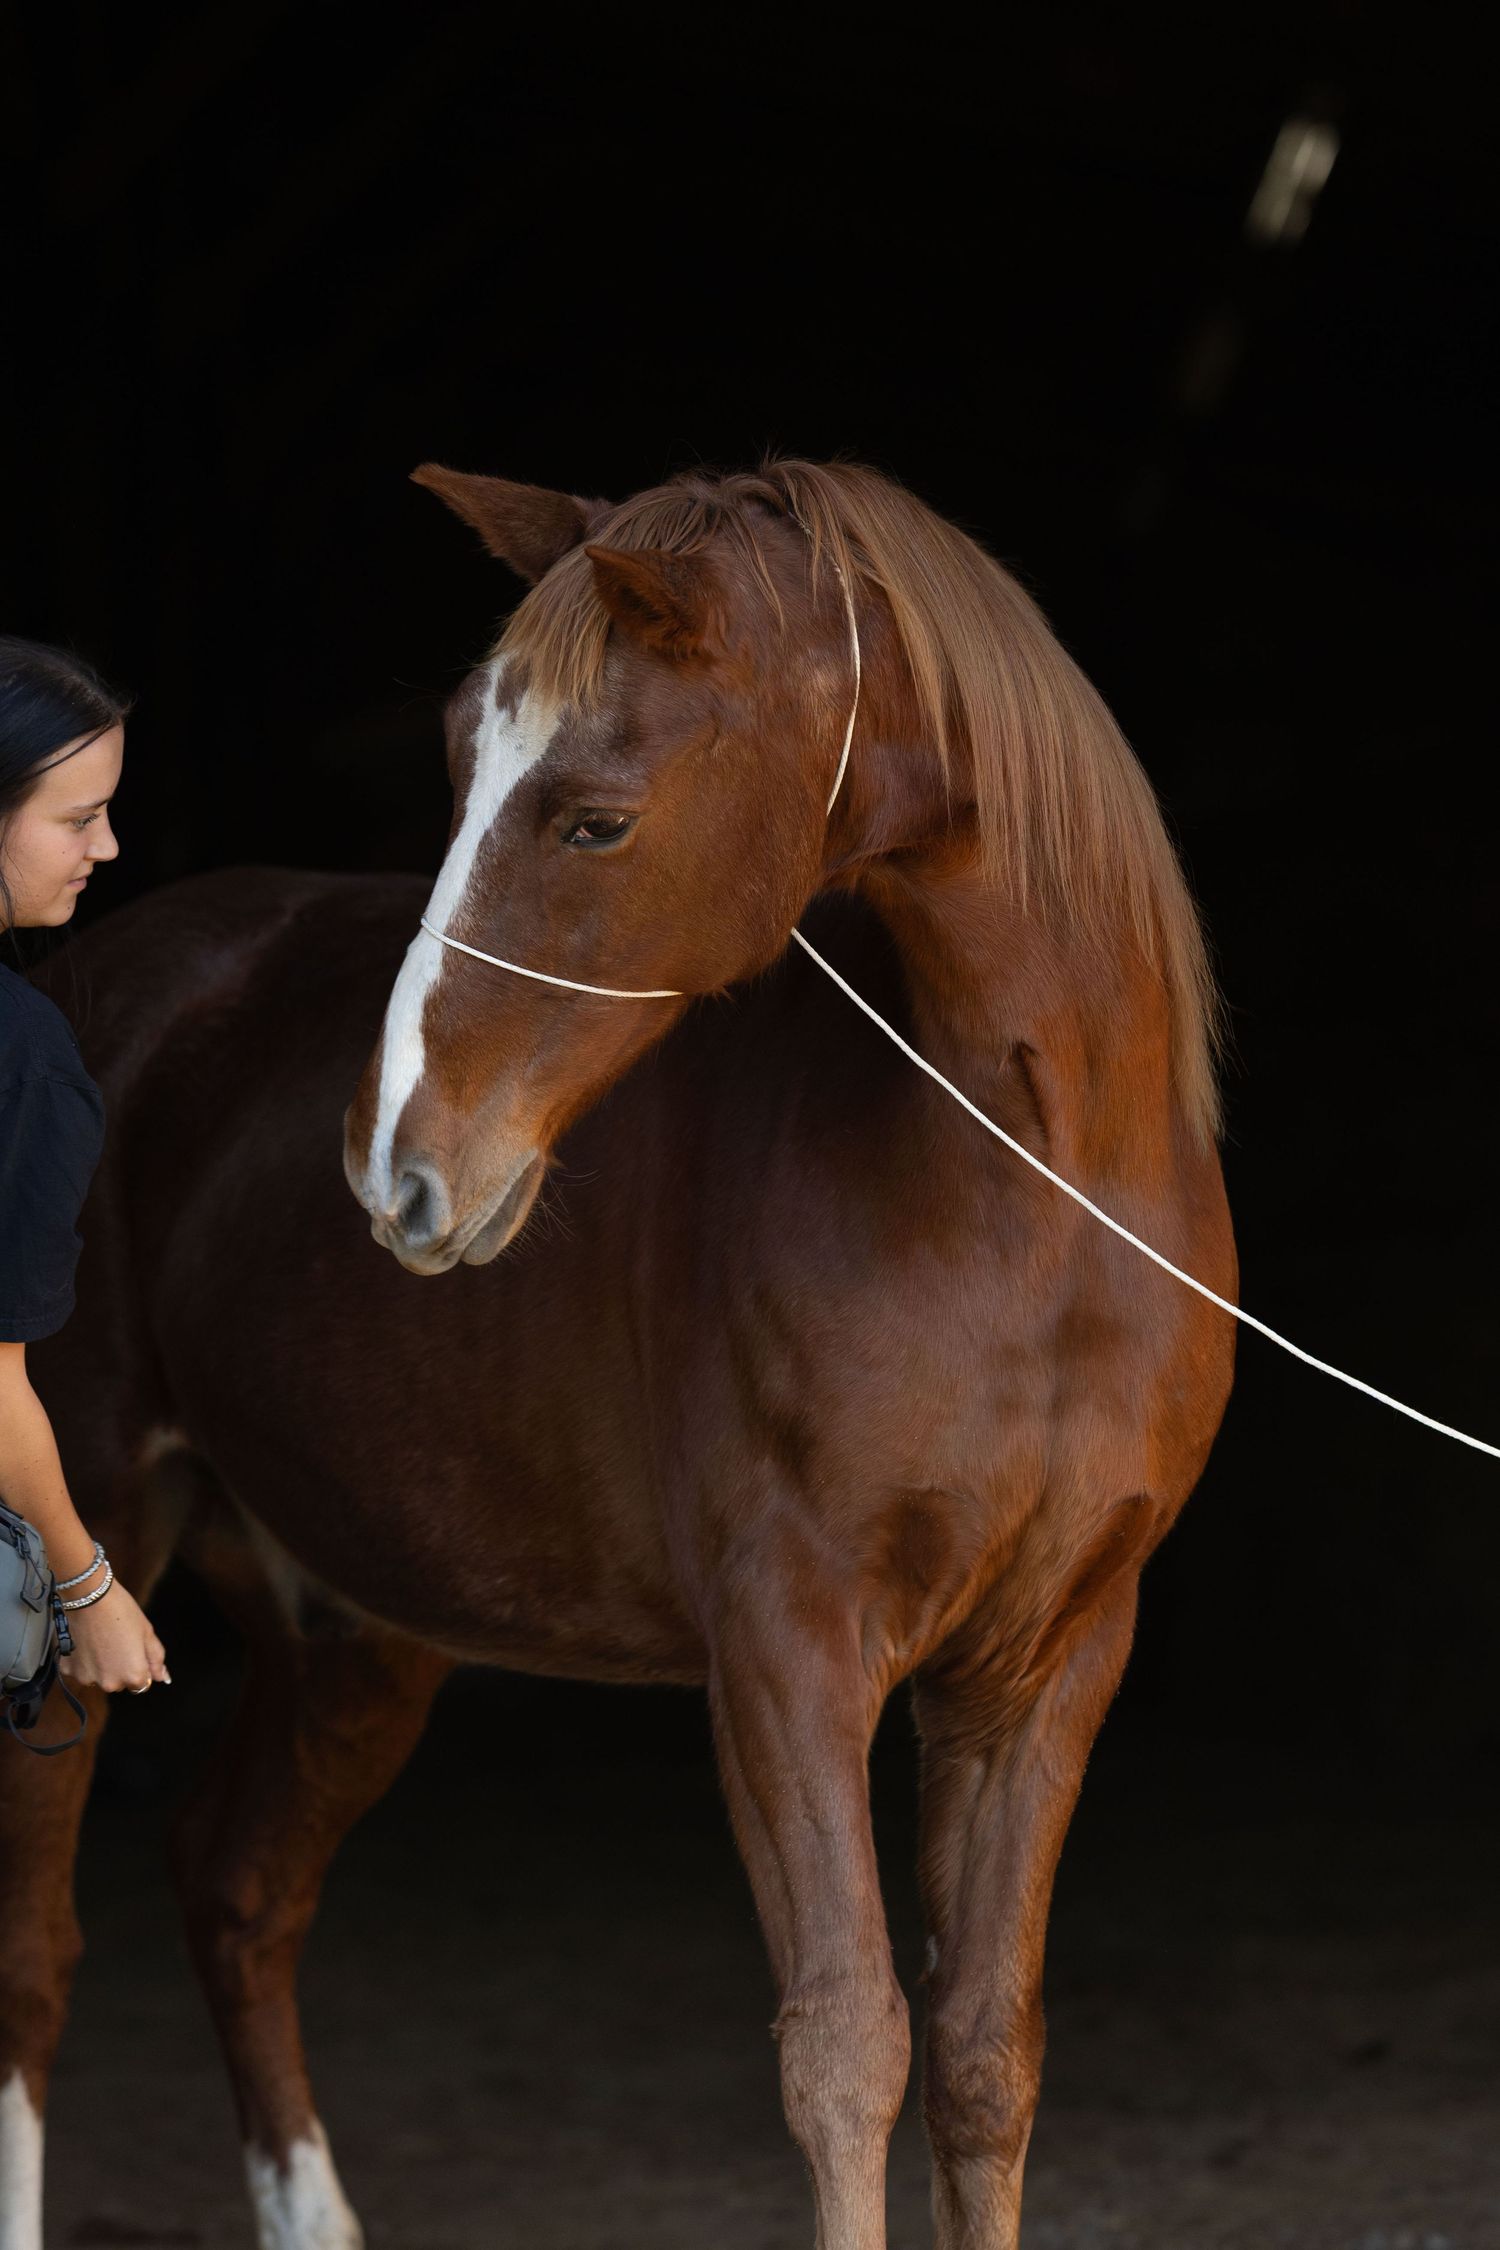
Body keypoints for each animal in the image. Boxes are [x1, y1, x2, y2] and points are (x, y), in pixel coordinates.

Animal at [0, 456, 1236, 2250]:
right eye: (459, 766)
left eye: (595, 819)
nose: (395, 1165)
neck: (1040, 1208)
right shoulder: (787, 1650)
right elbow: (848, 2045)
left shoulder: (1050, 1657)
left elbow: (982, 2053)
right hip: (87, 1544)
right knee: (36, 1957)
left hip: (357, 1635)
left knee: (236, 1887)